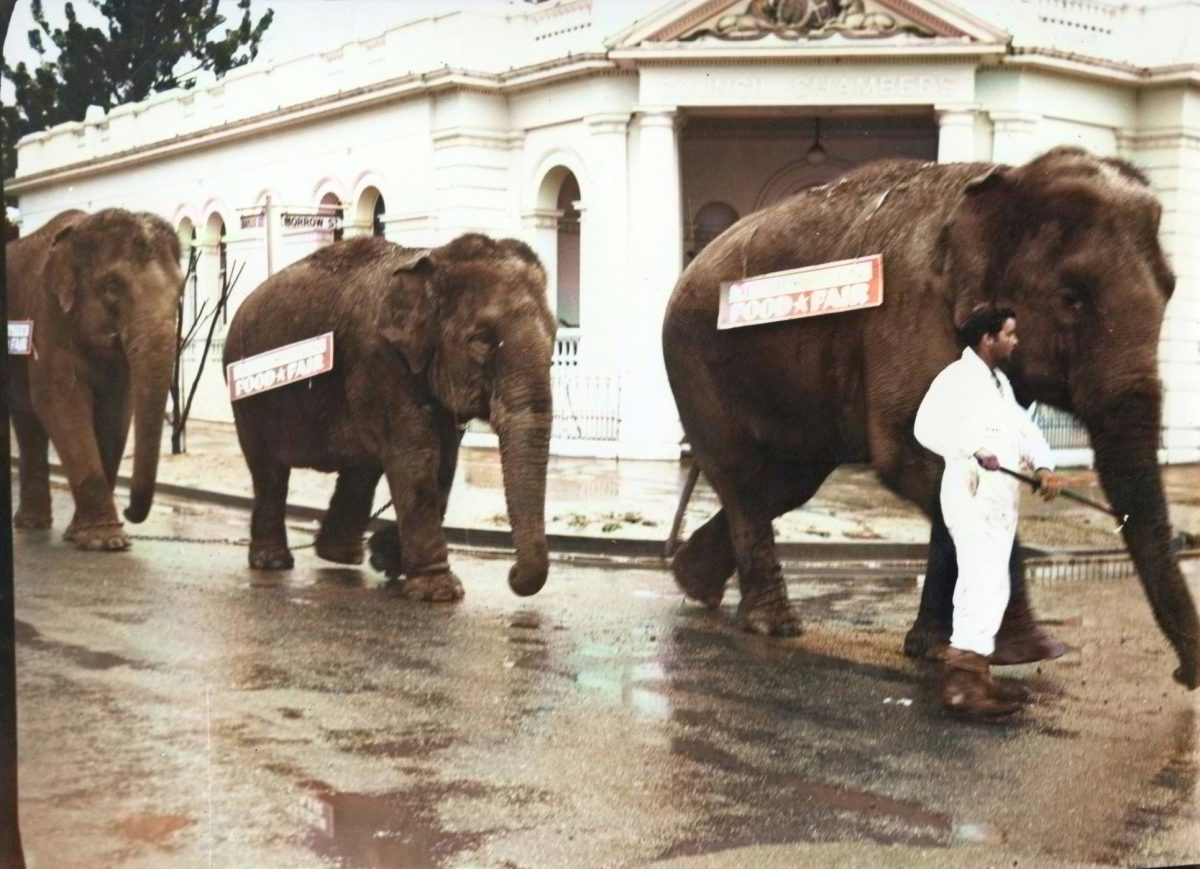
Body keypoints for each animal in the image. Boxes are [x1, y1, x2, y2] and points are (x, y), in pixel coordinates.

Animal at [8, 208, 184, 549]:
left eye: (181, 292)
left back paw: (33, 524)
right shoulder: (49, 317)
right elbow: (59, 402)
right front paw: (106, 541)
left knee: (26, 421)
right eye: (112, 287)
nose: (129, 512)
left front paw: (86, 536)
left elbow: (116, 413)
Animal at [225, 230, 556, 600]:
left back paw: (341, 555)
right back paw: (274, 563)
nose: (512, 575)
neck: (433, 258)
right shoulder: (378, 357)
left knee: (361, 468)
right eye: (481, 341)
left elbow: (444, 460)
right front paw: (439, 592)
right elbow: (416, 454)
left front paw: (388, 556)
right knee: (269, 472)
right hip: (247, 394)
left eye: (555, 338)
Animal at [667, 145, 1200, 691]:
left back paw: (695, 582)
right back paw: (771, 625)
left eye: (1172, 290)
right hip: (694, 362)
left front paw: (935, 650)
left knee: (788, 484)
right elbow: (919, 455)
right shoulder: (907, 312)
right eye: (1071, 298)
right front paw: (1031, 649)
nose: (1184, 676)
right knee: (745, 476)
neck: (1004, 180)